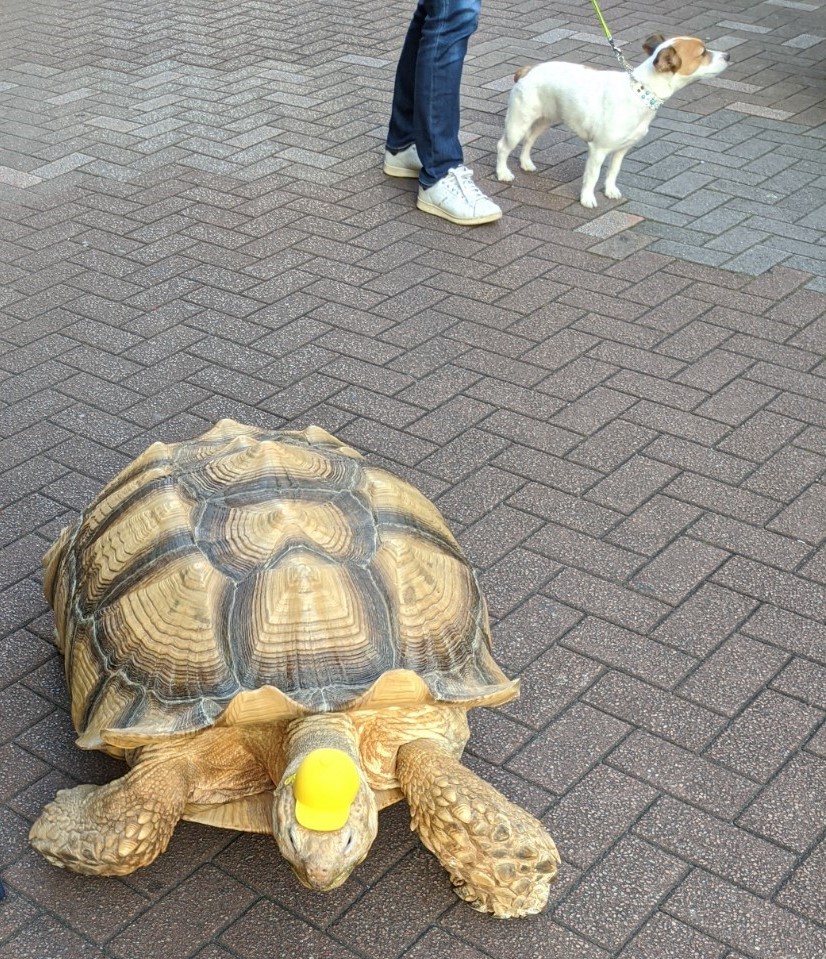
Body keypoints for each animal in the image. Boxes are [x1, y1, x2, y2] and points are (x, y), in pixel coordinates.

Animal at [496, 35, 728, 206]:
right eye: (703, 53)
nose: (728, 55)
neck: (640, 91)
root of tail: (528, 70)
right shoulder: (598, 150)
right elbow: (592, 176)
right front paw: (587, 198)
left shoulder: (622, 149)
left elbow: (613, 172)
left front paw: (609, 190)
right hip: (517, 123)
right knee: (503, 147)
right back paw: (503, 173)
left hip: (544, 120)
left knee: (529, 139)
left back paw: (526, 163)